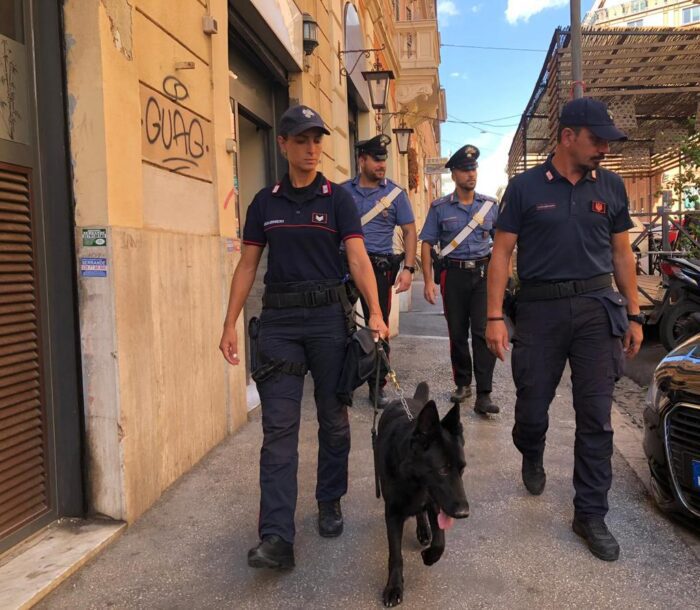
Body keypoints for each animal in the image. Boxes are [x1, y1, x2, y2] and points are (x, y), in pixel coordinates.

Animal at [374, 380, 468, 604]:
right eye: (443, 470)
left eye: (462, 469)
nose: (464, 513)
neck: (412, 479)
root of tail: (410, 399)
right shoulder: (392, 514)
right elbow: (396, 555)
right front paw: (394, 587)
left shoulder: (435, 504)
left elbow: (440, 541)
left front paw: (430, 555)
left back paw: (424, 530)